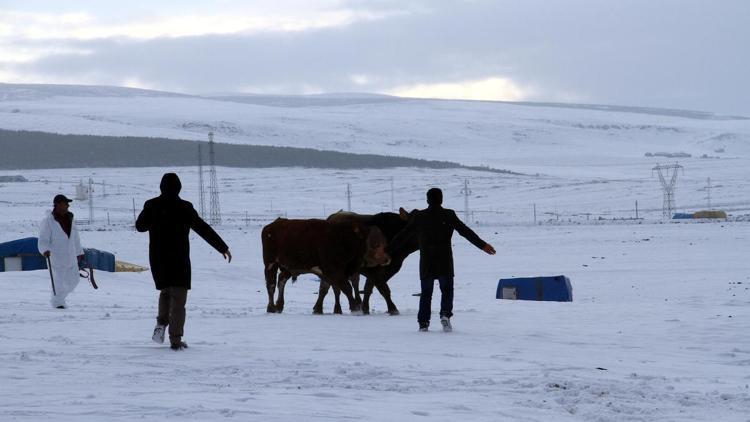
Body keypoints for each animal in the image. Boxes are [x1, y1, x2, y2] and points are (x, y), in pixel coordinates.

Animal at [262, 218, 394, 314]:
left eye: (384, 243)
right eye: (375, 244)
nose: (387, 259)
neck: (346, 240)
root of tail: (272, 225)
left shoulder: (329, 273)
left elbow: (327, 289)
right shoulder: (333, 270)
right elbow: (346, 288)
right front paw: (355, 308)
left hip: (289, 268)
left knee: (281, 281)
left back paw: (279, 306)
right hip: (270, 264)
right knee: (271, 285)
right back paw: (271, 308)